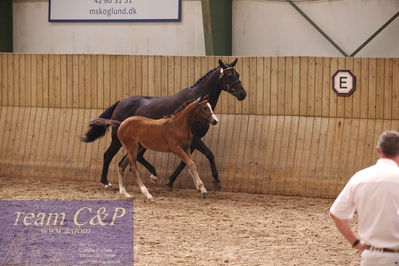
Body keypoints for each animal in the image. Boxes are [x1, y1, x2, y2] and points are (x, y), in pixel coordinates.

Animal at [81, 59, 245, 189]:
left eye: (238, 74)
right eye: (229, 75)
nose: (242, 94)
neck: (193, 106)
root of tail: (120, 102)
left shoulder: (189, 141)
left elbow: (185, 162)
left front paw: (170, 182)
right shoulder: (195, 138)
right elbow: (209, 154)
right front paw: (216, 181)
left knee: (137, 157)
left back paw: (153, 174)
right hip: (117, 139)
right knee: (108, 155)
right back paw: (106, 182)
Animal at [89, 97, 220, 200]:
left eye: (210, 107)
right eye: (205, 108)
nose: (215, 121)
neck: (178, 125)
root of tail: (121, 123)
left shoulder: (186, 148)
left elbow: (190, 165)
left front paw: (202, 190)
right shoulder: (176, 148)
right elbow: (191, 164)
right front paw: (203, 189)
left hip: (136, 148)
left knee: (121, 165)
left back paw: (125, 193)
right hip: (132, 148)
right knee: (132, 168)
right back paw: (147, 194)